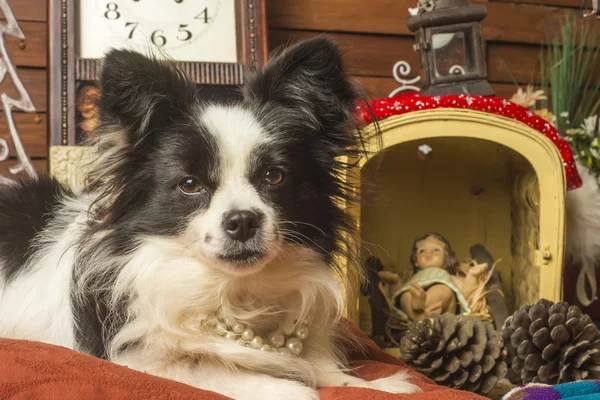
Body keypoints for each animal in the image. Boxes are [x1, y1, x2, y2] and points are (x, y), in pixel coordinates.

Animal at [0, 36, 418, 396]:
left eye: (274, 176)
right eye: (189, 184)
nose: (243, 220)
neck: (230, 289)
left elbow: (326, 369)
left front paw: (377, 385)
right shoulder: (135, 358)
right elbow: (208, 365)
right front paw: (288, 387)